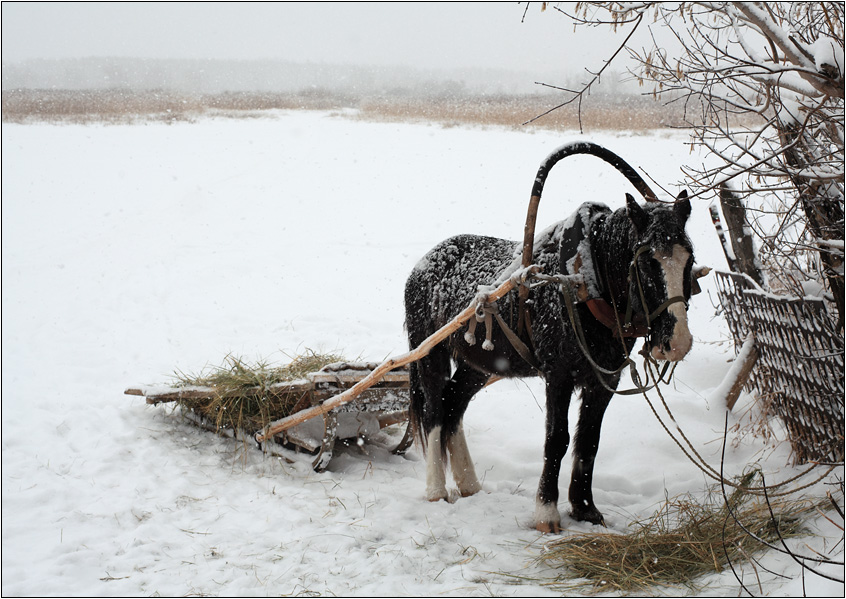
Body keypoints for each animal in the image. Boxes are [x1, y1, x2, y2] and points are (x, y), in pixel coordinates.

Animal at [404, 142, 696, 536]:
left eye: (688, 258)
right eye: (647, 262)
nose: (677, 342)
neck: (584, 282)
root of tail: (424, 262)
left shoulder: (604, 379)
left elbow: (589, 440)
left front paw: (586, 509)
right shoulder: (558, 375)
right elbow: (557, 439)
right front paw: (547, 513)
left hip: (477, 365)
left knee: (453, 405)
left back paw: (469, 485)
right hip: (430, 353)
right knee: (435, 409)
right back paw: (436, 490)